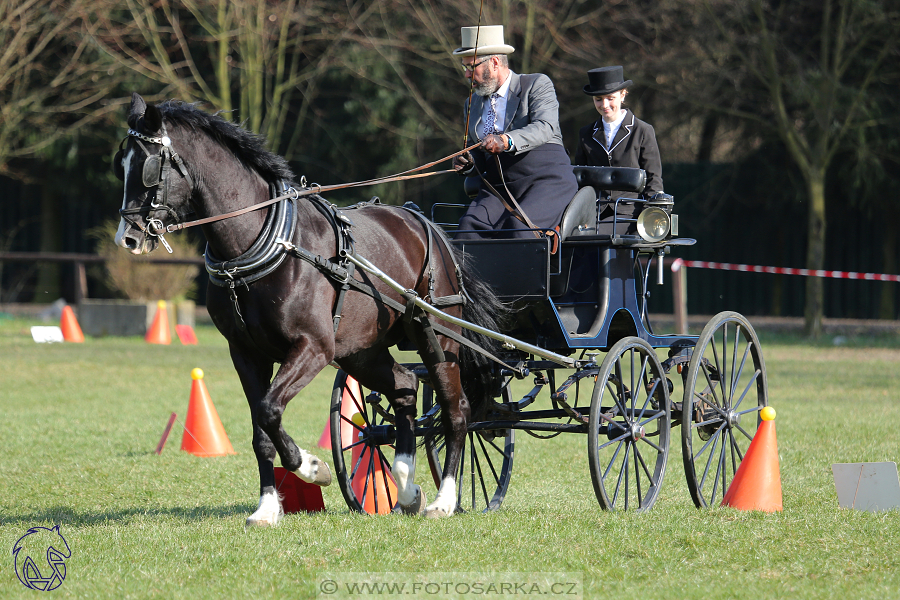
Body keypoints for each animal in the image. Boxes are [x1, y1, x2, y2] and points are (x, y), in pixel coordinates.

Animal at [114, 94, 500, 524]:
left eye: (149, 168)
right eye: (119, 164)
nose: (127, 238)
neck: (264, 243)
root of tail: (424, 223)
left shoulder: (313, 347)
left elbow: (269, 411)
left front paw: (312, 468)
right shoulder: (245, 354)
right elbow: (260, 430)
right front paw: (267, 507)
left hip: (436, 338)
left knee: (456, 410)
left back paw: (444, 500)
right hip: (360, 352)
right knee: (405, 386)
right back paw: (406, 487)